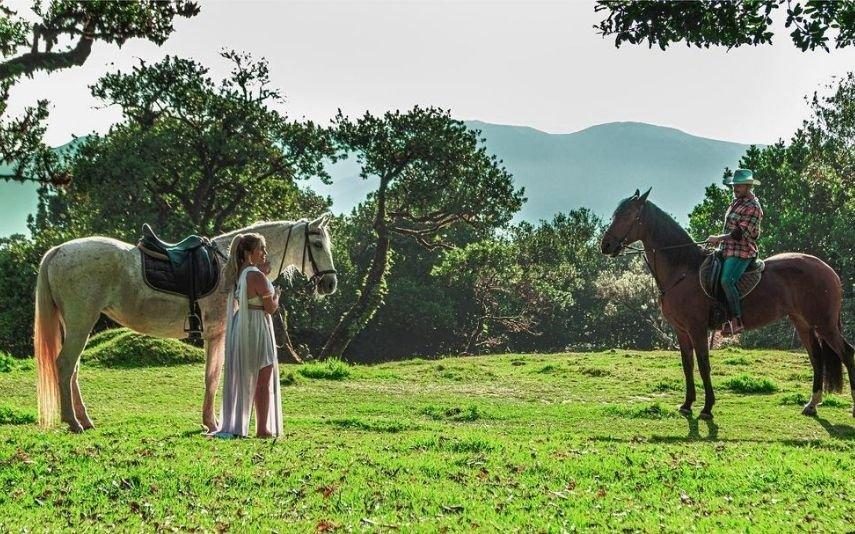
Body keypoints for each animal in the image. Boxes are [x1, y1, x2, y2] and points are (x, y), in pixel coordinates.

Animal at [36, 216, 338, 434]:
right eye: (318, 245)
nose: (330, 283)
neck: (228, 265)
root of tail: (59, 250)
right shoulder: (217, 334)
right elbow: (212, 377)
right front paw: (212, 423)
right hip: (81, 323)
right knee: (65, 365)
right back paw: (73, 421)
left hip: (75, 325)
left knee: (72, 370)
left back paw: (84, 419)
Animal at [600, 191, 855, 420]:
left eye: (628, 215)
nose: (606, 245)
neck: (684, 269)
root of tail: (829, 270)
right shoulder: (681, 331)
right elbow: (687, 365)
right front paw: (687, 404)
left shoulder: (697, 329)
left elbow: (703, 365)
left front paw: (706, 408)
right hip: (803, 323)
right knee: (817, 357)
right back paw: (811, 405)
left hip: (824, 324)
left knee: (846, 353)